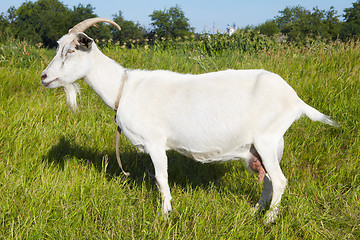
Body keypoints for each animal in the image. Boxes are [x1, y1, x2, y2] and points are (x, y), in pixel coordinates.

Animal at [42, 17, 338, 222]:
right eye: (58, 47)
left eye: (71, 51)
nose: (44, 77)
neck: (123, 88)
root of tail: (295, 99)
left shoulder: (155, 142)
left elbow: (161, 178)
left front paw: (165, 215)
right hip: (269, 145)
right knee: (268, 181)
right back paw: (254, 212)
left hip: (267, 138)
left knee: (279, 181)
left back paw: (268, 220)